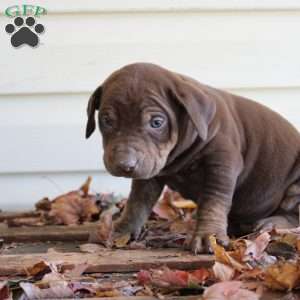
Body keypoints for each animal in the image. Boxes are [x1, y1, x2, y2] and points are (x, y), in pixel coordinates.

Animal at [85, 63, 300, 253]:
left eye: (157, 122)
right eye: (107, 120)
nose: (125, 165)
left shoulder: (223, 163)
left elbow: (214, 201)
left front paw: (209, 236)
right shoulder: (151, 169)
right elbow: (137, 202)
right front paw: (123, 229)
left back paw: (271, 223)